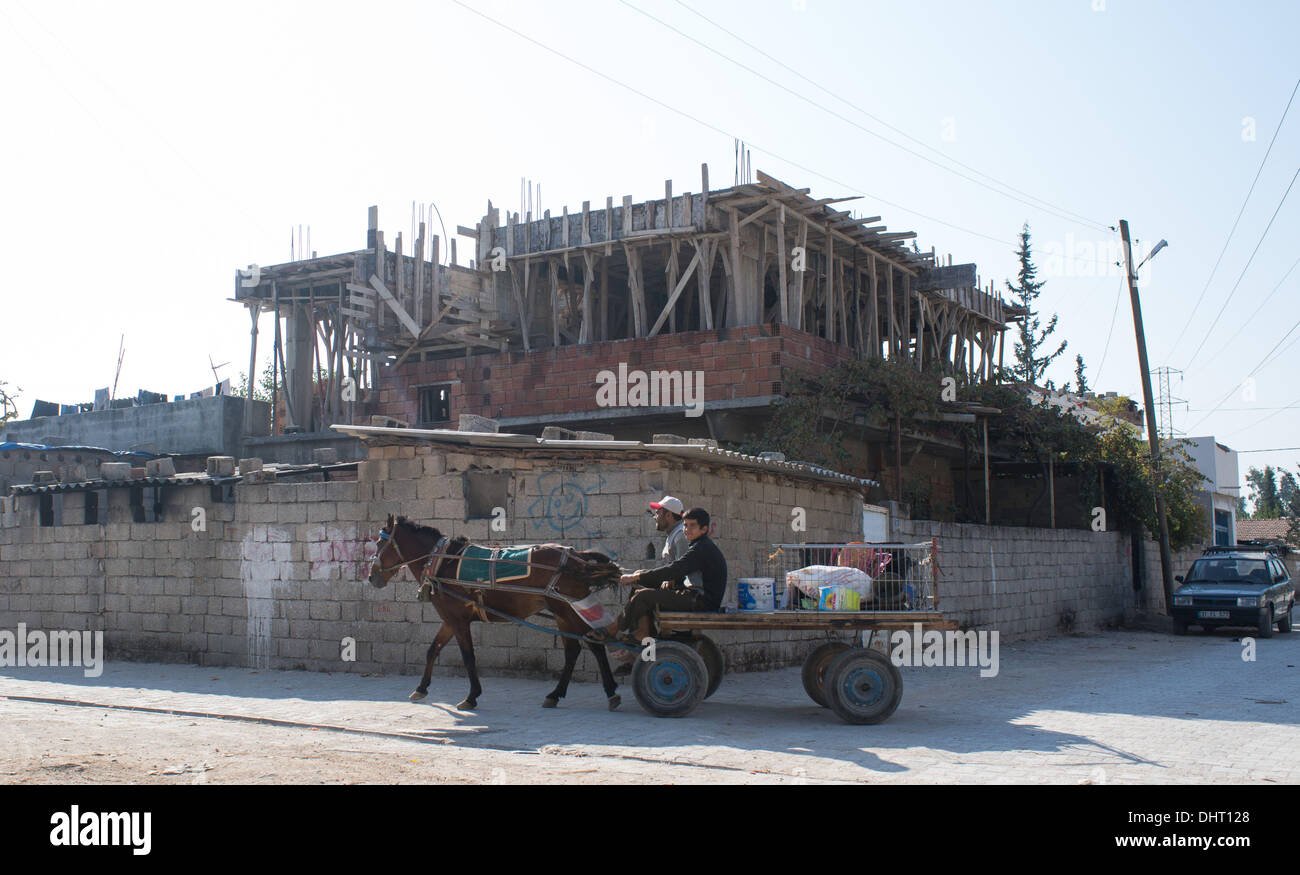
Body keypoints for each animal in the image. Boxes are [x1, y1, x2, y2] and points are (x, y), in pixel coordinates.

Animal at [366, 512, 629, 707]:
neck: (442, 562)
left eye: (380, 542)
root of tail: (575, 556)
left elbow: (468, 656)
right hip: (564, 613)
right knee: (575, 649)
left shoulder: (458, 621)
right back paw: (557, 694)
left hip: (567, 610)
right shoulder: (450, 619)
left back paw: (609, 692)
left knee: (593, 645)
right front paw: (421, 688)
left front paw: (471, 697)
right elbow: (433, 650)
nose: (371, 577)